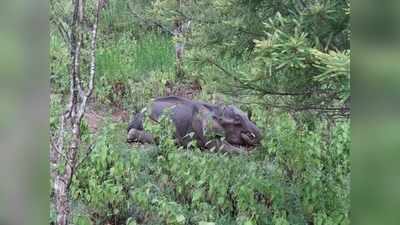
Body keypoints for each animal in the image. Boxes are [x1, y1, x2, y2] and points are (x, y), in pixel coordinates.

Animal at [126, 96, 262, 154]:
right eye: (238, 120)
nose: (250, 135)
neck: (214, 108)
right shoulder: (201, 127)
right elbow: (215, 145)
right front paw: (246, 154)